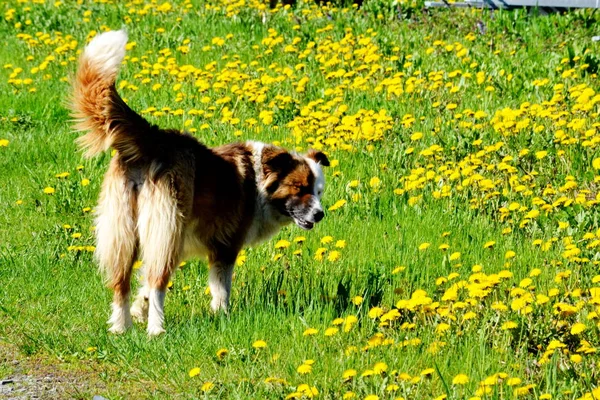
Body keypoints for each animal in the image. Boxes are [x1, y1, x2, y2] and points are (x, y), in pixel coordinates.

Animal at [72, 31, 330, 336]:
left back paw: (121, 328)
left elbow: (143, 287)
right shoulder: (225, 247)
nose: (320, 214)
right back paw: (156, 330)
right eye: (300, 188)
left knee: (121, 281)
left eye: (318, 191)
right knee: (159, 283)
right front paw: (222, 317)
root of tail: (154, 139)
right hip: (166, 226)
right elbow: (220, 289)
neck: (259, 180)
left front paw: (137, 311)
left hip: (125, 230)